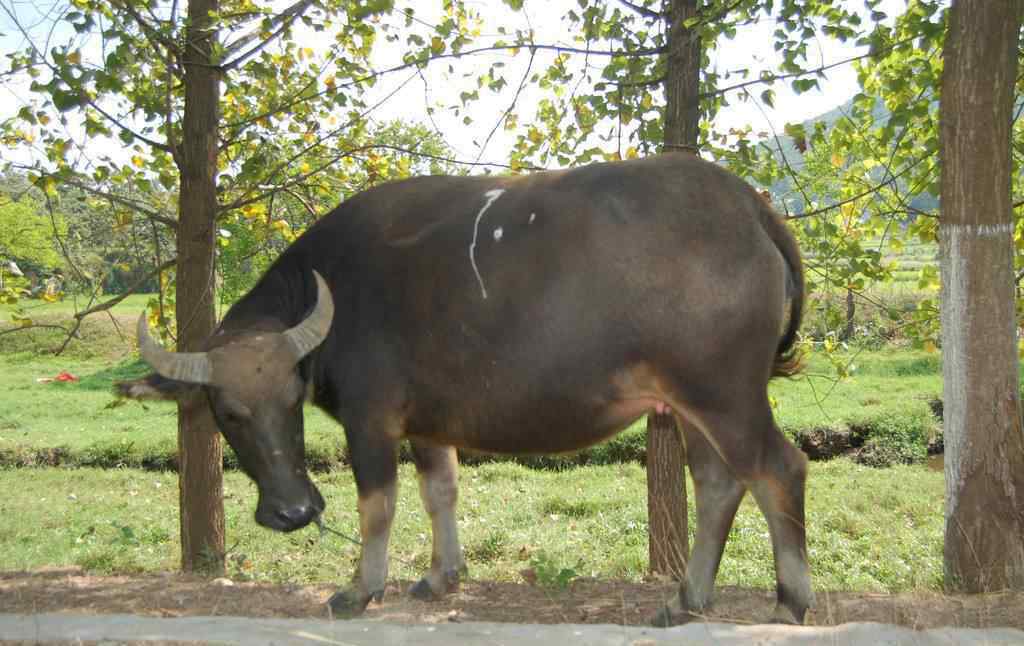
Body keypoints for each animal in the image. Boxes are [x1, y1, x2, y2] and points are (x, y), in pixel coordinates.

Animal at [117, 152, 806, 626]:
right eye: (228, 412)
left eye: (291, 402)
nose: (294, 512)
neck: (340, 296)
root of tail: (751, 206)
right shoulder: (428, 424)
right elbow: (439, 492)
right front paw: (441, 577)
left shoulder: (372, 421)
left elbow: (378, 506)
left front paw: (359, 590)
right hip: (689, 405)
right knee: (718, 484)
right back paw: (686, 600)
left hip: (726, 396)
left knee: (778, 470)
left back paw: (789, 602)